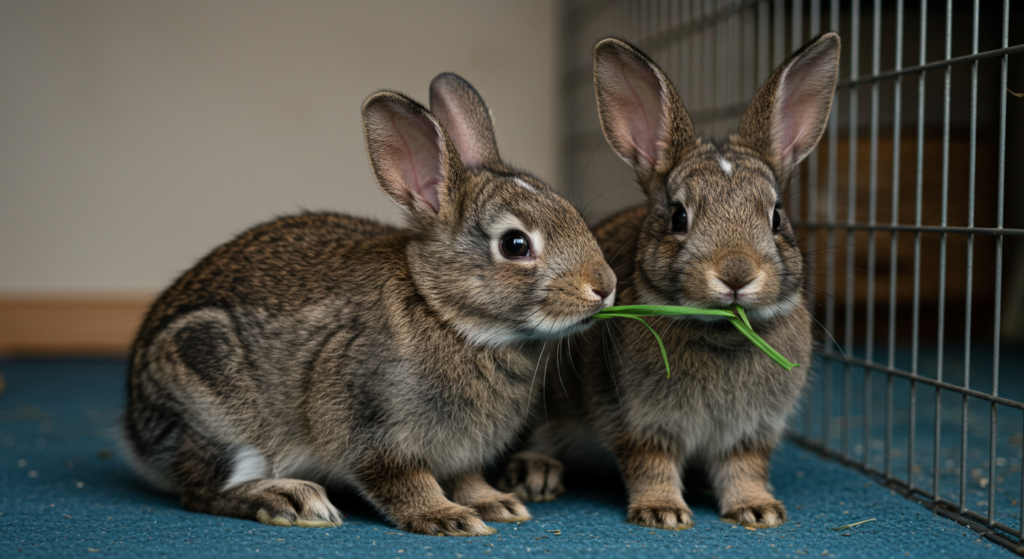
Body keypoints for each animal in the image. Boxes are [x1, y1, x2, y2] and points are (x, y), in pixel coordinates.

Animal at [119, 71, 614, 532]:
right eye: (515, 244)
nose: (605, 287)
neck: (445, 314)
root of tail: (135, 431)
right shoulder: (375, 430)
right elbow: (402, 481)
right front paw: (447, 518)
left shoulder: (463, 453)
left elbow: (468, 478)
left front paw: (497, 504)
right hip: (219, 405)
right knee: (201, 490)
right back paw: (291, 499)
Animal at [499, 32, 843, 528]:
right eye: (679, 216)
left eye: (776, 217)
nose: (736, 273)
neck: (723, 329)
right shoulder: (639, 419)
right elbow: (651, 462)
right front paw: (662, 512)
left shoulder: (751, 431)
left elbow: (745, 467)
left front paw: (757, 510)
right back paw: (537, 473)